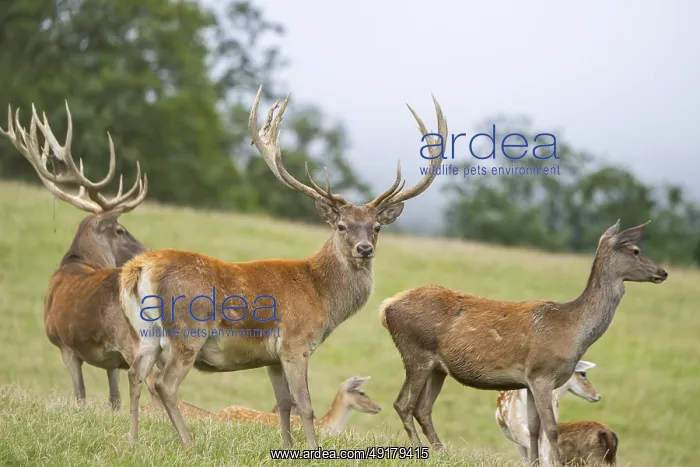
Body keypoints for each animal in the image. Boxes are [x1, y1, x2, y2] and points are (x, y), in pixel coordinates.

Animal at [0, 101, 156, 411]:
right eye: (120, 230)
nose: (146, 251)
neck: (81, 261)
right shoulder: (104, 357)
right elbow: (112, 400)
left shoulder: (64, 343)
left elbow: (80, 397)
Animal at [118, 85, 448, 448]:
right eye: (341, 226)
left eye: (376, 227)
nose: (364, 249)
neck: (321, 295)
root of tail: (139, 268)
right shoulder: (295, 343)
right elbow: (305, 404)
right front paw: (313, 449)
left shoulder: (271, 358)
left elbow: (284, 404)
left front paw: (287, 447)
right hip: (188, 328)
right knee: (164, 383)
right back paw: (188, 444)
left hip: (145, 332)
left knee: (135, 373)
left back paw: (132, 439)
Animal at [378, 220, 667, 466]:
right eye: (636, 250)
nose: (662, 272)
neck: (573, 330)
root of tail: (386, 307)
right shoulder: (542, 373)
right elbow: (550, 429)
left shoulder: (528, 381)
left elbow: (534, 430)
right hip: (416, 352)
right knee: (403, 404)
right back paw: (420, 451)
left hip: (438, 367)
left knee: (423, 408)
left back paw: (440, 452)